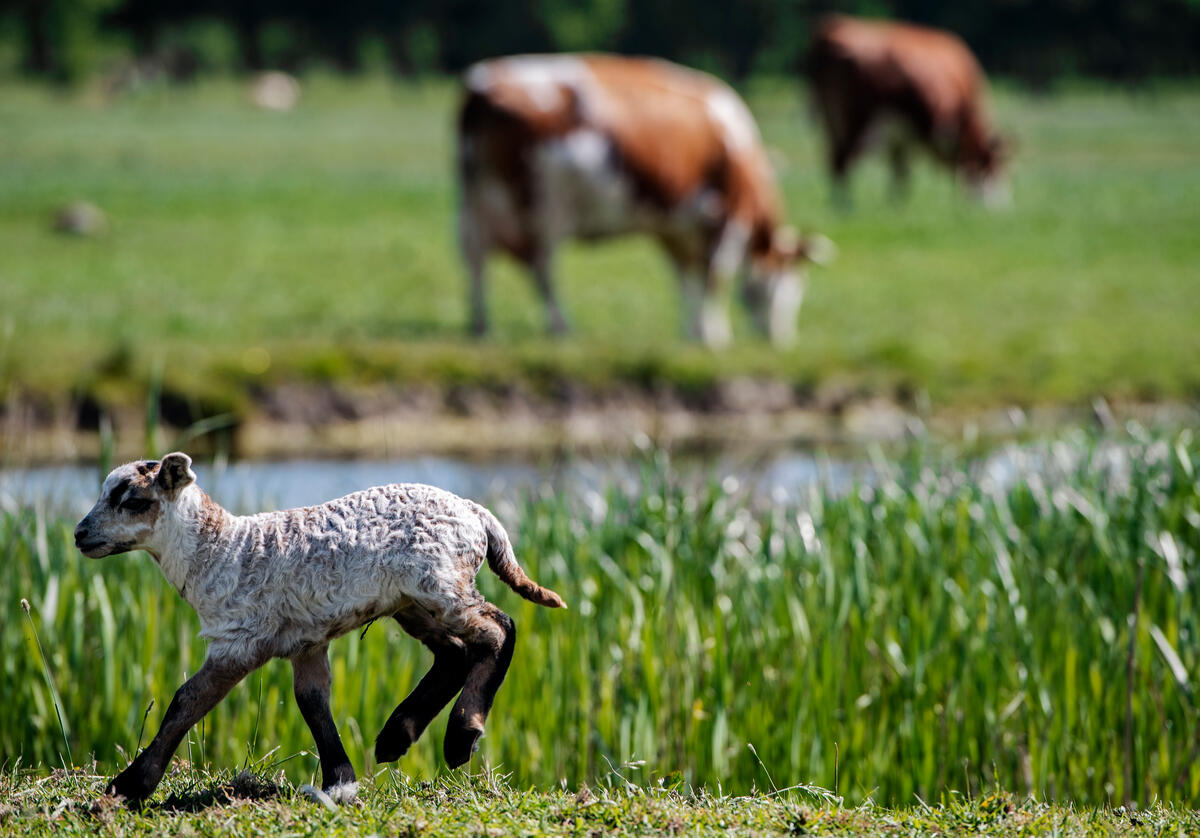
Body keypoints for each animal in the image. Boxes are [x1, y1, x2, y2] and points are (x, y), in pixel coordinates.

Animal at [72, 451, 564, 801]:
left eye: (133, 501)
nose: (79, 534)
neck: (218, 548)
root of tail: (477, 513)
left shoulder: (238, 637)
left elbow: (186, 702)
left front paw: (129, 786)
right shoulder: (304, 643)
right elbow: (312, 702)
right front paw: (340, 779)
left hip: (439, 582)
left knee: (497, 630)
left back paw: (462, 737)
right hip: (411, 601)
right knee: (455, 652)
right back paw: (395, 738)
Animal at [453, 53, 830, 345]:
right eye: (793, 286)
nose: (780, 339)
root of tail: (481, 89)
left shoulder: (674, 227)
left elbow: (685, 280)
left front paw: (691, 333)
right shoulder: (727, 217)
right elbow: (715, 278)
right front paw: (714, 336)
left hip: (475, 202)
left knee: (475, 258)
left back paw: (481, 326)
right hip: (542, 204)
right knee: (542, 267)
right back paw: (561, 327)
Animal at [806, 15, 1012, 207]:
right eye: (992, 166)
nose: (1001, 206)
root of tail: (835, 27)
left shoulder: (900, 136)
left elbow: (900, 170)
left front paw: (896, 206)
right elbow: (903, 172)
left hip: (832, 119)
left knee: (836, 159)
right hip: (858, 122)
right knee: (841, 160)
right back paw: (844, 206)